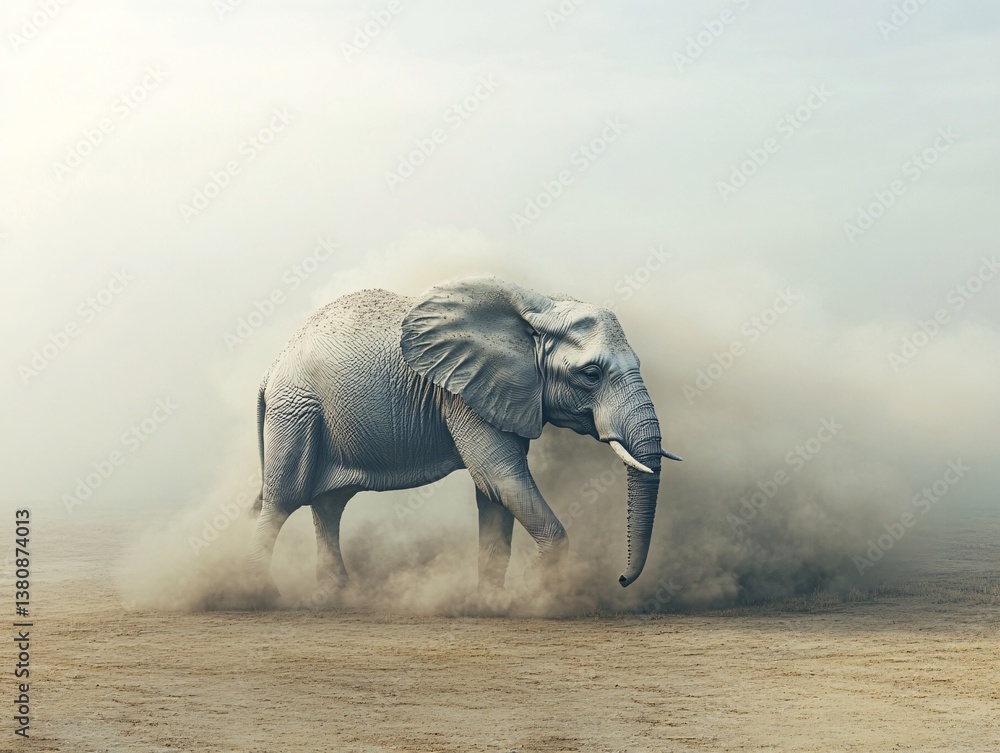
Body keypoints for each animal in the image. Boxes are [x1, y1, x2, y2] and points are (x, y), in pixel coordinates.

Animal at [245, 276, 681, 600]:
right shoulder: (463, 392)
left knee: (329, 505)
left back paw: (338, 597)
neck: (539, 309)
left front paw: (491, 604)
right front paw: (531, 591)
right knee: (283, 500)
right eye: (591, 374)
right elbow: (501, 476)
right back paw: (265, 597)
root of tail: (270, 369)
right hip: (296, 410)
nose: (621, 579)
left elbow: (494, 493)